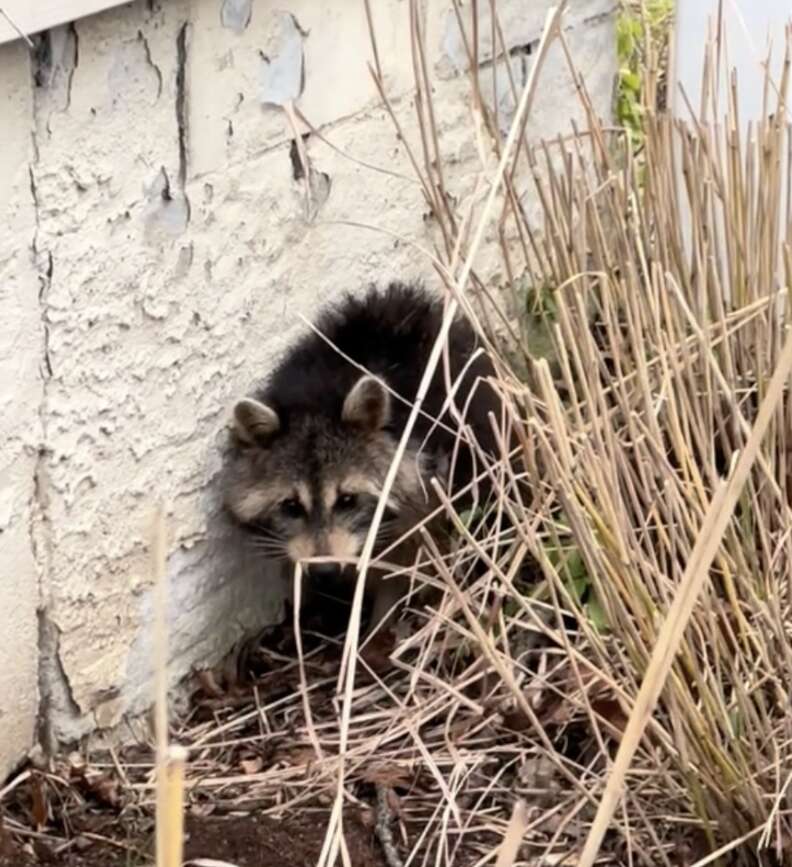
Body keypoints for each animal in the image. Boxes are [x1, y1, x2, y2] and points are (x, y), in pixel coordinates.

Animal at [220, 284, 498, 632]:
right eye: (291, 507)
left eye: (347, 500)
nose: (324, 573)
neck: (317, 398)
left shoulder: (425, 492)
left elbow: (408, 559)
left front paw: (379, 626)